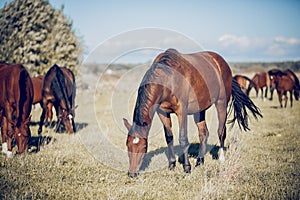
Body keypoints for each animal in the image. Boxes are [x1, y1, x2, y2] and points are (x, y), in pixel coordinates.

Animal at [123, 49, 262, 177]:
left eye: (143, 147)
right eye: (128, 146)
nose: (132, 173)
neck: (169, 79)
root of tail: (221, 62)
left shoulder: (182, 112)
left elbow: (183, 138)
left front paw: (187, 168)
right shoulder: (162, 112)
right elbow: (169, 137)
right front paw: (172, 164)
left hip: (221, 103)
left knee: (221, 131)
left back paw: (221, 158)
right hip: (200, 110)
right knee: (204, 133)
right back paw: (200, 161)